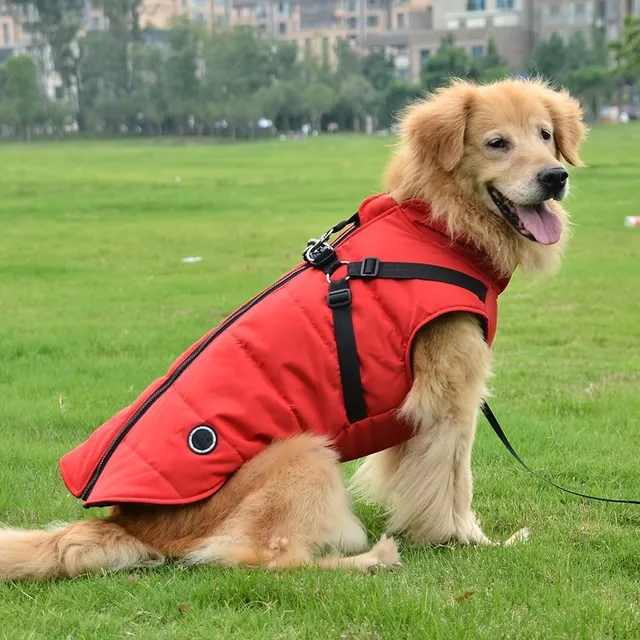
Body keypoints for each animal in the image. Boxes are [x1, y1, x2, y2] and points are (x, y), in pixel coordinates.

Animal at [0, 80, 584, 580]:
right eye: (496, 143)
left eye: (545, 136)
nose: (556, 177)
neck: (437, 224)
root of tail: (128, 524)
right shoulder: (450, 398)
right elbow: (455, 482)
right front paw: (467, 541)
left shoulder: (415, 413)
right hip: (305, 453)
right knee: (269, 559)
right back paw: (369, 560)